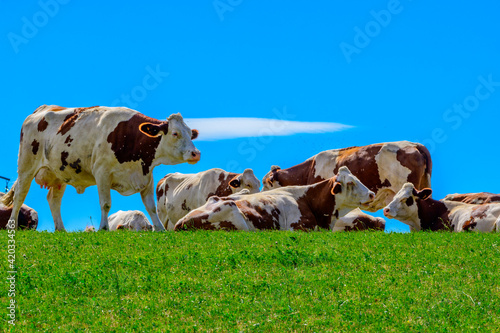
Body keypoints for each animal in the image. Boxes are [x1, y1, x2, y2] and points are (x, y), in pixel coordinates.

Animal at [1, 105, 201, 230]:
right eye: (175, 133)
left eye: (190, 133)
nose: (196, 153)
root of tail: (43, 108)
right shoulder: (102, 173)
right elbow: (105, 203)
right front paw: (103, 228)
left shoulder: (146, 176)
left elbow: (150, 206)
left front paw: (159, 228)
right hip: (26, 166)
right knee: (19, 197)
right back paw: (12, 226)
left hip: (58, 173)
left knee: (53, 200)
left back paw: (61, 229)